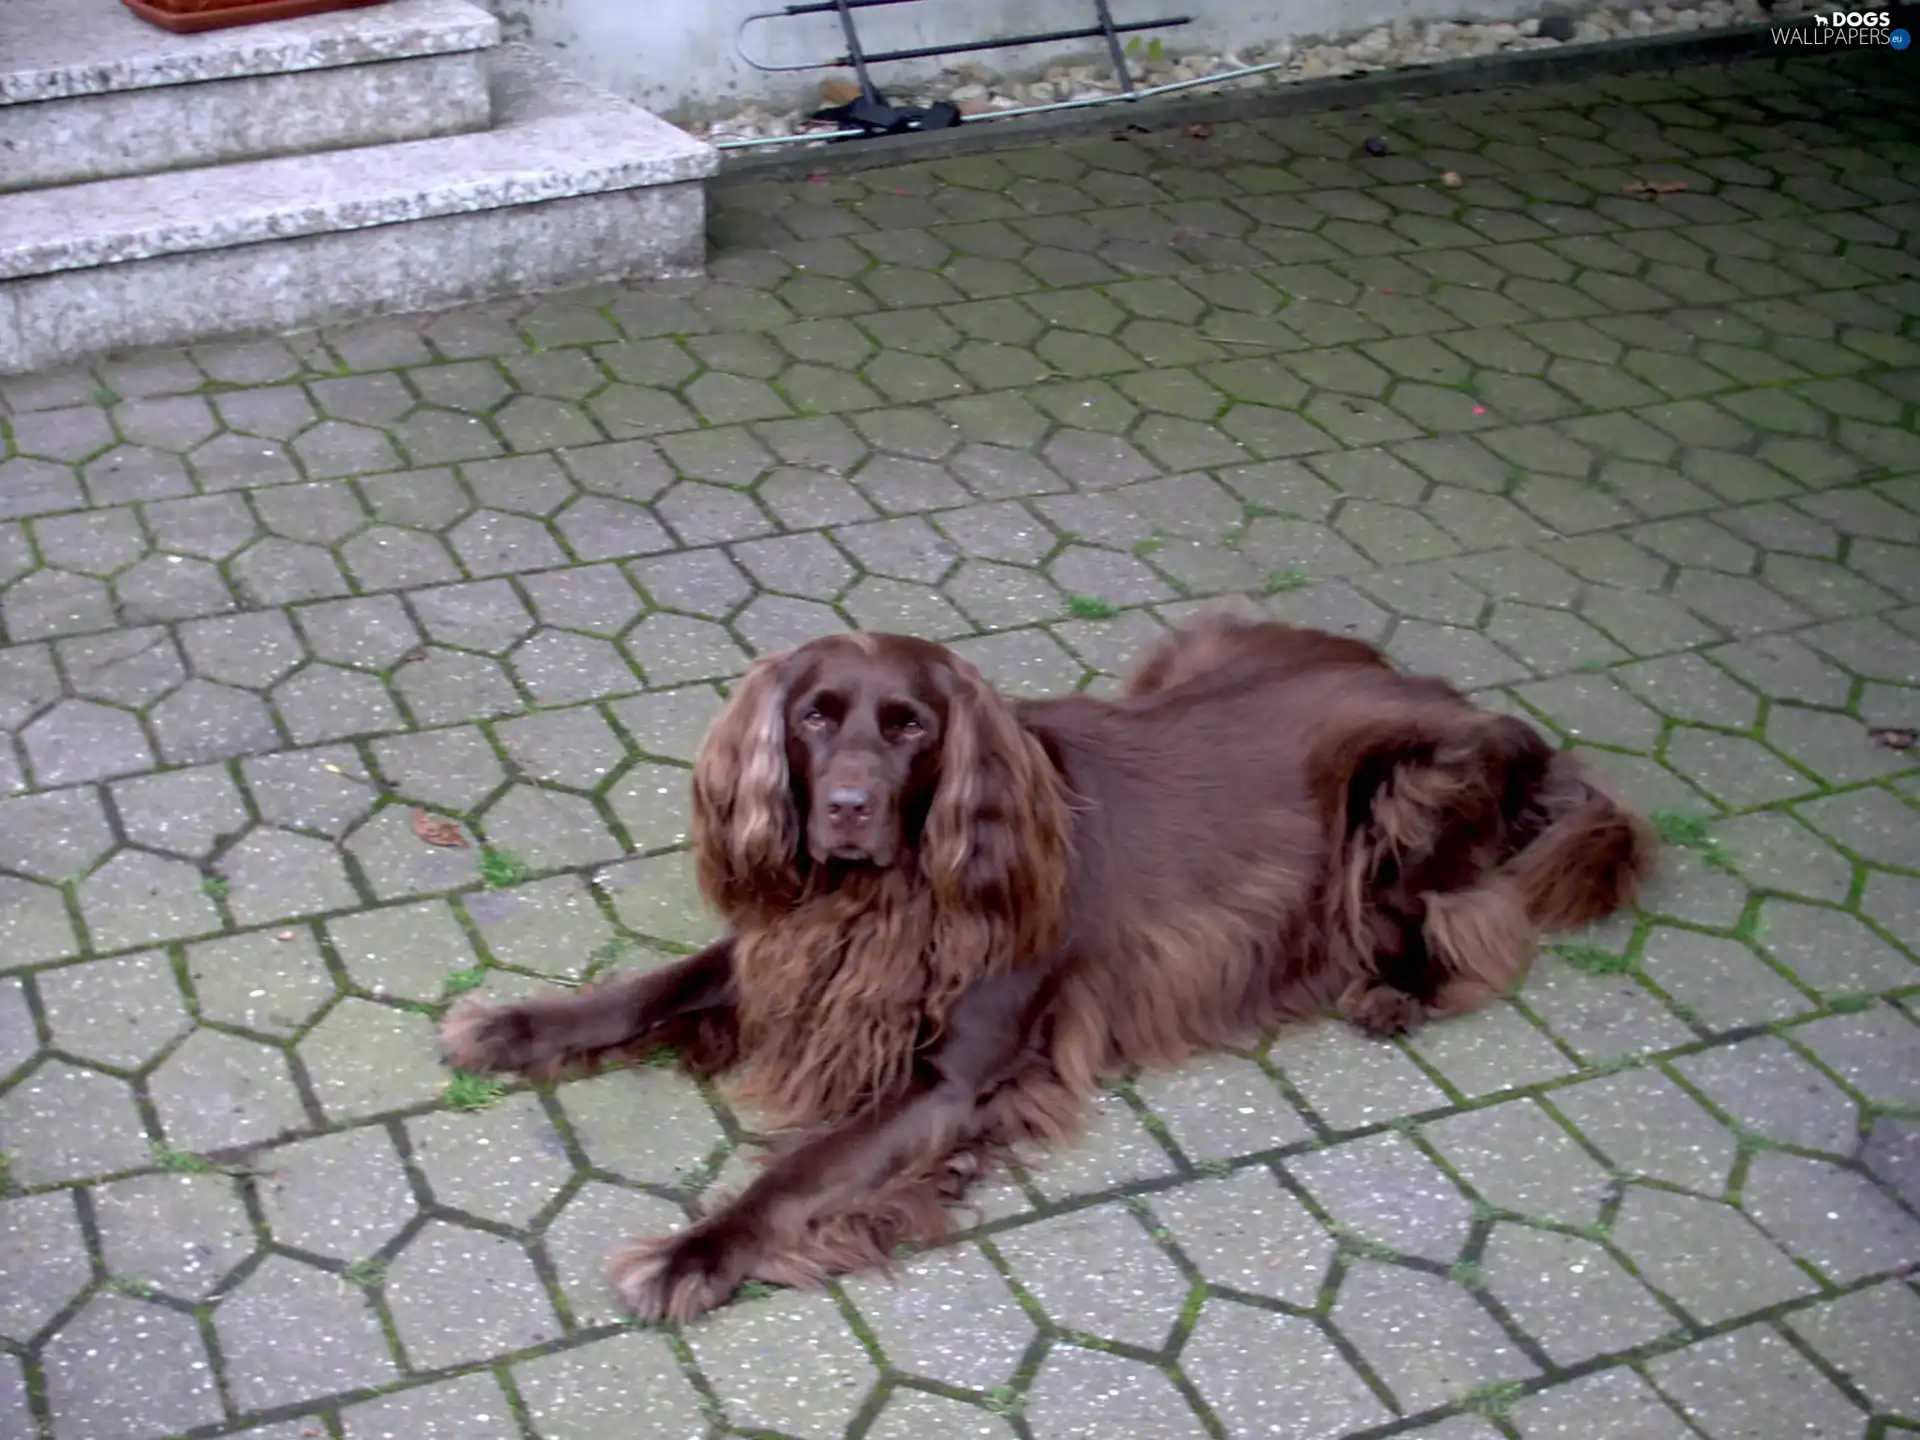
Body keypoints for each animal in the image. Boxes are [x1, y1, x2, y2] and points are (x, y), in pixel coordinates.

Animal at [441, 614, 1658, 1328]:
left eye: (911, 726)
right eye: (816, 718)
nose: (847, 808)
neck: (891, 893)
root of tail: (1476, 706)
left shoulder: (949, 1080)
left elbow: (799, 1174)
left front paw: (695, 1252)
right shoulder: (792, 952)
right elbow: (649, 989)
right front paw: (512, 1027)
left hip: (1405, 795)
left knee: (1471, 919)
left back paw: (1400, 990)